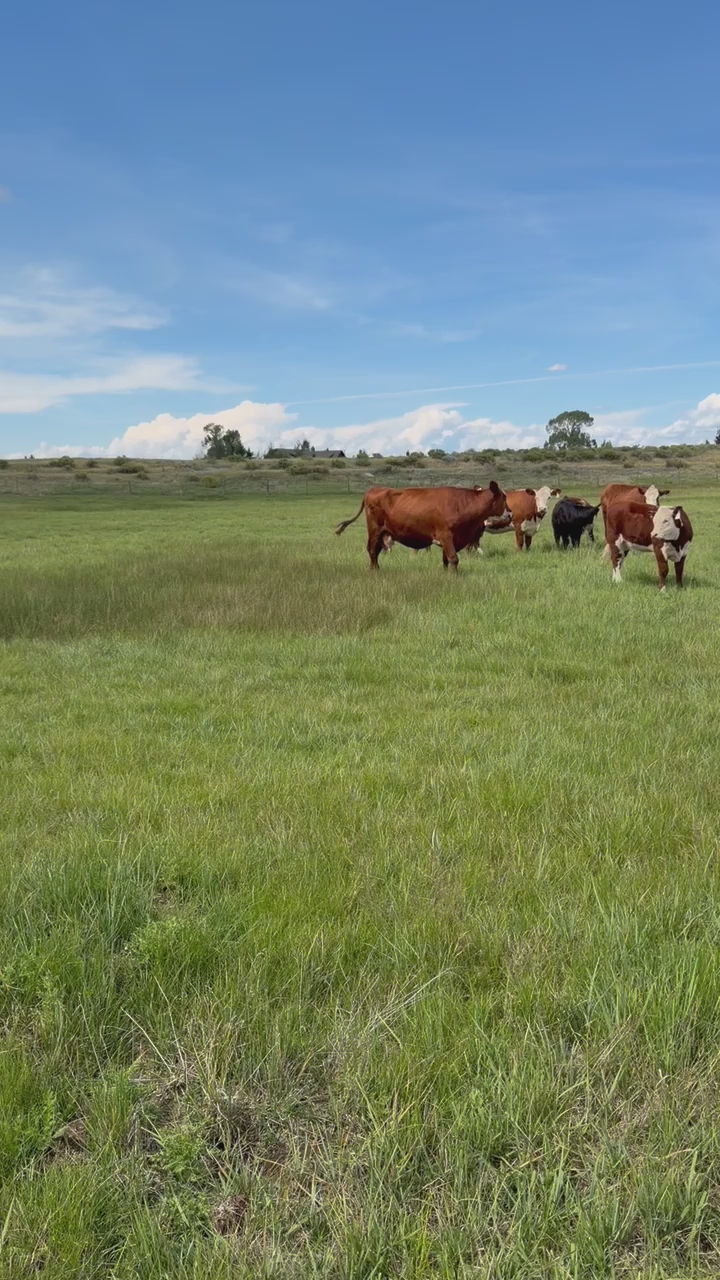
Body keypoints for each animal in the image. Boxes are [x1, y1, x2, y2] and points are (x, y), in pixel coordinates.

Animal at [334, 482, 508, 570]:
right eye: (503, 498)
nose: (509, 514)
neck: (462, 504)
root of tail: (374, 489)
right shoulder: (446, 535)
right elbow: (453, 559)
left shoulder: (451, 539)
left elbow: (446, 560)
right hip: (374, 530)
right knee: (372, 550)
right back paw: (373, 570)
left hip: (383, 532)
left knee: (376, 551)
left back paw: (377, 568)